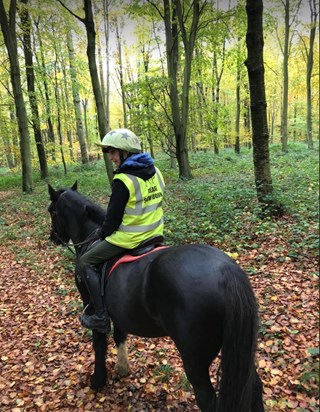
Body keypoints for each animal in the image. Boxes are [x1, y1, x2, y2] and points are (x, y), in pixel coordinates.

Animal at [47, 183, 262, 412]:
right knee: (254, 386)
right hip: (237, 352)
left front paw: (98, 380)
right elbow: (119, 336)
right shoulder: (119, 310)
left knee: (207, 399)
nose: (53, 237)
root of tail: (226, 271)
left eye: (52, 211)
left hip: (195, 360)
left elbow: (99, 343)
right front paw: (123, 369)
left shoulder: (91, 303)